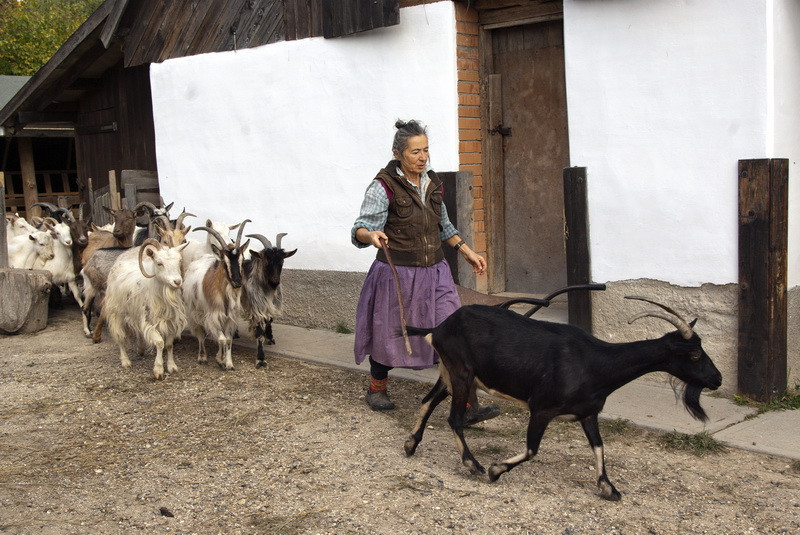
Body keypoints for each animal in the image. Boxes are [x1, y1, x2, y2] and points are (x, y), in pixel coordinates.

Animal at [104, 239, 190, 382]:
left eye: (179, 261)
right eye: (159, 263)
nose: (177, 282)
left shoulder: (171, 321)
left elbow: (169, 345)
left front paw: (171, 366)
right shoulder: (150, 322)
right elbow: (160, 343)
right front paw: (158, 370)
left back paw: (140, 349)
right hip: (116, 312)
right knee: (120, 337)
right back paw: (125, 361)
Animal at [244, 233, 296, 368]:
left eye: (282, 261)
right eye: (266, 261)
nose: (274, 282)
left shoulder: (272, 304)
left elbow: (270, 319)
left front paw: (270, 338)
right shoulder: (256, 307)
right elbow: (259, 332)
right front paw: (261, 359)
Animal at [404, 298, 720, 502]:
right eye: (694, 354)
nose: (717, 379)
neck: (596, 364)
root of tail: (439, 327)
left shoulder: (588, 413)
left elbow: (598, 446)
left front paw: (608, 488)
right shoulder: (542, 408)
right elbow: (532, 449)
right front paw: (495, 470)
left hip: (452, 373)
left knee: (428, 401)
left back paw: (410, 444)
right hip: (461, 373)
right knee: (453, 418)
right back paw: (473, 465)